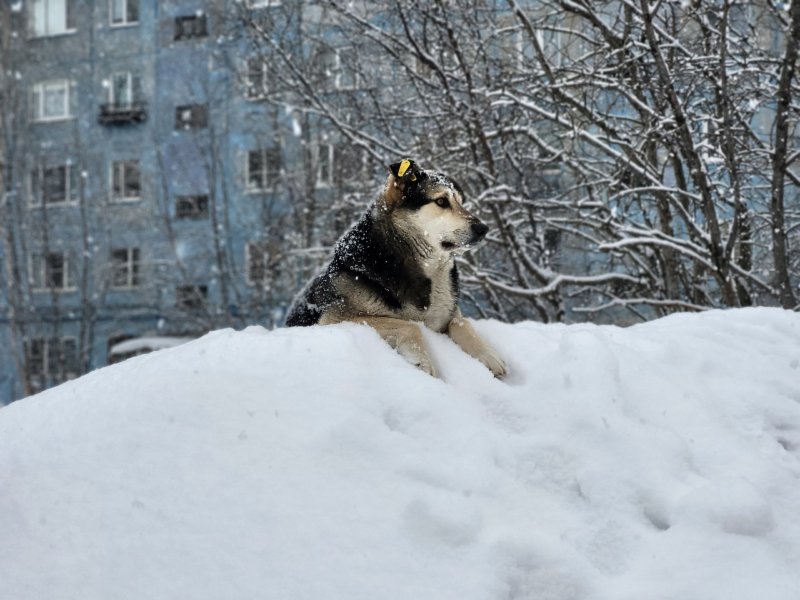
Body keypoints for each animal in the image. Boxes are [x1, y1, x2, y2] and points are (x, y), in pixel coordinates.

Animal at [284, 159, 504, 380]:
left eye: (460, 202)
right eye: (441, 201)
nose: (483, 229)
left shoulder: (446, 314)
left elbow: (461, 323)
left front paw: (489, 355)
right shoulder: (334, 319)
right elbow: (410, 325)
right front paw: (422, 362)